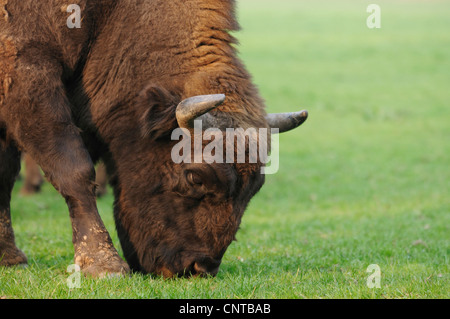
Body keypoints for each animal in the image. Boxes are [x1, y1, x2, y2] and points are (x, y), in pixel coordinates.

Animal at [0, 0, 306, 278]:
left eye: (255, 187)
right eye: (195, 177)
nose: (198, 268)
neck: (111, 19)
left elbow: (6, 176)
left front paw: (9, 258)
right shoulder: (27, 74)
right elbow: (74, 170)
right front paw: (105, 267)